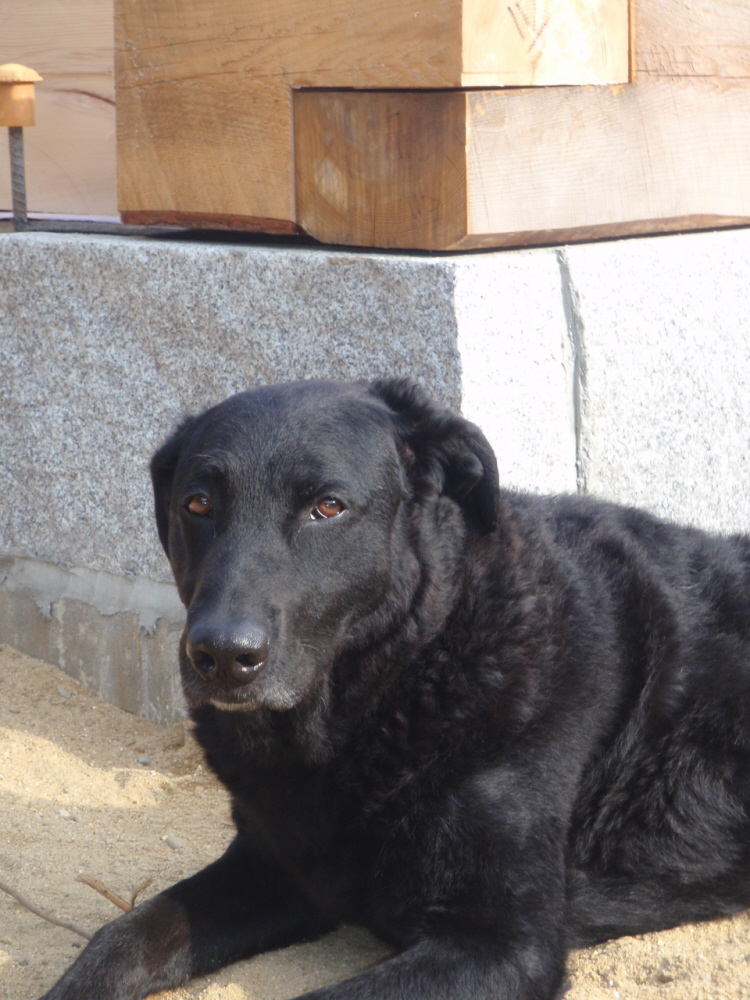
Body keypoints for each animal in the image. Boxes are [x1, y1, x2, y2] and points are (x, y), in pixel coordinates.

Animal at [41, 378, 750, 996]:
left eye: (327, 507)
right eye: (198, 505)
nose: (220, 654)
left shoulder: (498, 945)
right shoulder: (272, 867)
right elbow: (119, 938)